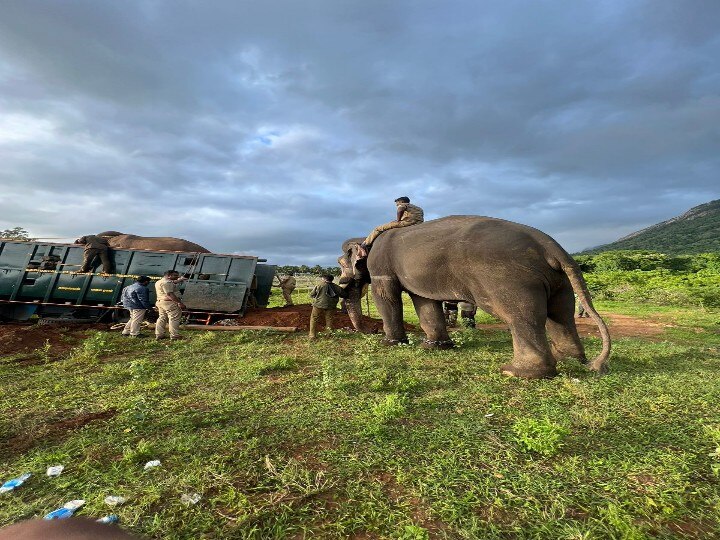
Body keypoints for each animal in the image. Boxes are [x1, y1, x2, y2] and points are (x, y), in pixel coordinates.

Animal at [340, 216, 612, 380]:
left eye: (341, 264)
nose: (369, 332)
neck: (367, 238)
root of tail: (550, 245)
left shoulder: (381, 266)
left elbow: (386, 296)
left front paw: (390, 344)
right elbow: (424, 301)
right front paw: (434, 346)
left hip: (507, 279)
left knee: (521, 316)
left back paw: (515, 372)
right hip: (559, 281)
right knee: (561, 315)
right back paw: (572, 360)